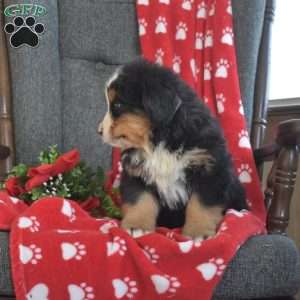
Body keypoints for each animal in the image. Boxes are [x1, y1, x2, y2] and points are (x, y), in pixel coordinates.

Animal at [97, 58, 247, 239]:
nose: (99, 131)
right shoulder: (136, 174)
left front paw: (198, 232)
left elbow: (201, 205)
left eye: (118, 104)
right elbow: (139, 201)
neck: (159, 143)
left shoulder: (210, 170)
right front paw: (136, 226)